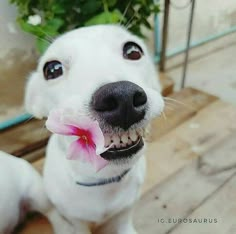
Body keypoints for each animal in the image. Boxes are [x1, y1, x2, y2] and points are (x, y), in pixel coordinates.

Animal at [24, 24, 164, 233]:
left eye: (133, 50)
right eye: (52, 69)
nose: (123, 96)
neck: (103, 179)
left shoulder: (126, 208)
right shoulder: (75, 218)